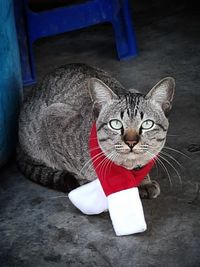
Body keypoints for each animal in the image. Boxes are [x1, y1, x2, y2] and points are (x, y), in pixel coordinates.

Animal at [17, 63, 174, 199]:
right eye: (115, 124)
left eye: (147, 124)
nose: (131, 142)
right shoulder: (52, 118)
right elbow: (71, 167)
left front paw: (143, 180)